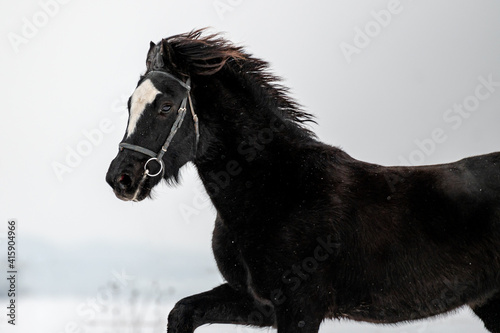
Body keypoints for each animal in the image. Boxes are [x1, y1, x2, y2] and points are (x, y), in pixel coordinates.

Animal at [105, 29, 500, 330]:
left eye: (165, 106)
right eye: (129, 104)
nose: (120, 178)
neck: (276, 190)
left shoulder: (300, 307)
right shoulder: (258, 303)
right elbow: (182, 311)